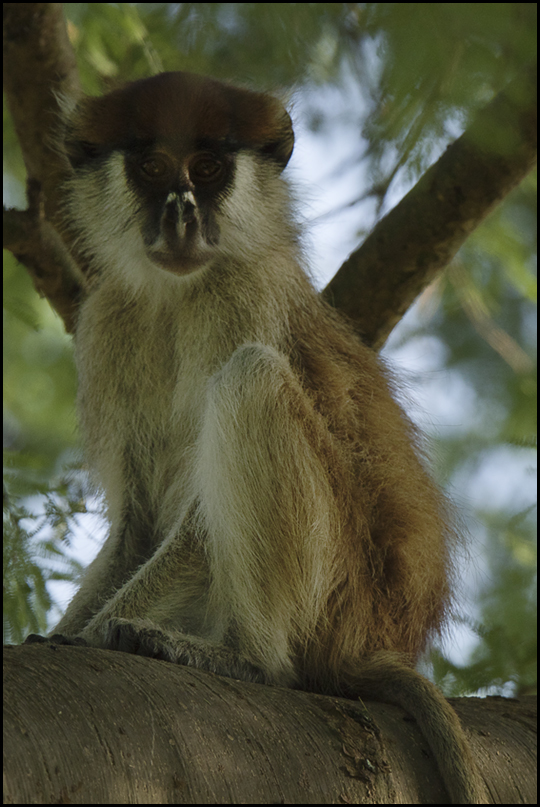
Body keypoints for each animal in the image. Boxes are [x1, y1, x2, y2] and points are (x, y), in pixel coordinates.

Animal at [27, 74, 488, 800]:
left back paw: (250, 661)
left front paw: (88, 639)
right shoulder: (108, 320)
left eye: (208, 169)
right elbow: (137, 524)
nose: (181, 214)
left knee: (253, 379)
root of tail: (376, 635)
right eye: (151, 168)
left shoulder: (244, 295)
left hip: (335, 591)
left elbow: (192, 527)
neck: (176, 295)